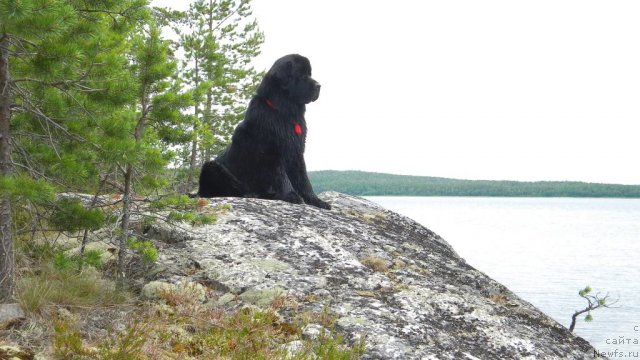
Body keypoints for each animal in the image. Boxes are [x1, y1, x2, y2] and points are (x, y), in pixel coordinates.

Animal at [198, 54, 330, 210]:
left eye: (309, 74)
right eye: (302, 76)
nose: (319, 86)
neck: (283, 113)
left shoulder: (296, 152)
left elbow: (304, 180)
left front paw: (316, 201)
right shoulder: (272, 152)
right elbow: (281, 176)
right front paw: (291, 195)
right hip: (210, 167)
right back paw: (252, 194)